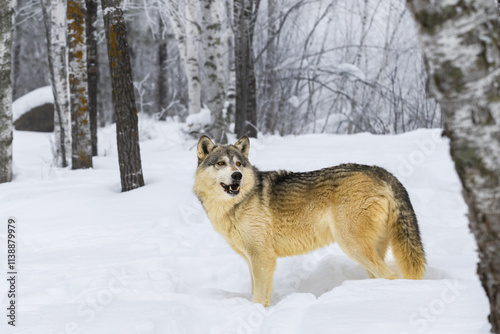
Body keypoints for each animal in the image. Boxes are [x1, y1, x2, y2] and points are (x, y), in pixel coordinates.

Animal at [194, 135, 426, 306]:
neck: (236, 203)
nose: (237, 176)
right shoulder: (251, 259)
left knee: (391, 275)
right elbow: (256, 293)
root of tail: (379, 171)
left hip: (352, 246)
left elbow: (259, 298)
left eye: (239, 164)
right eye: (221, 163)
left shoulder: (262, 258)